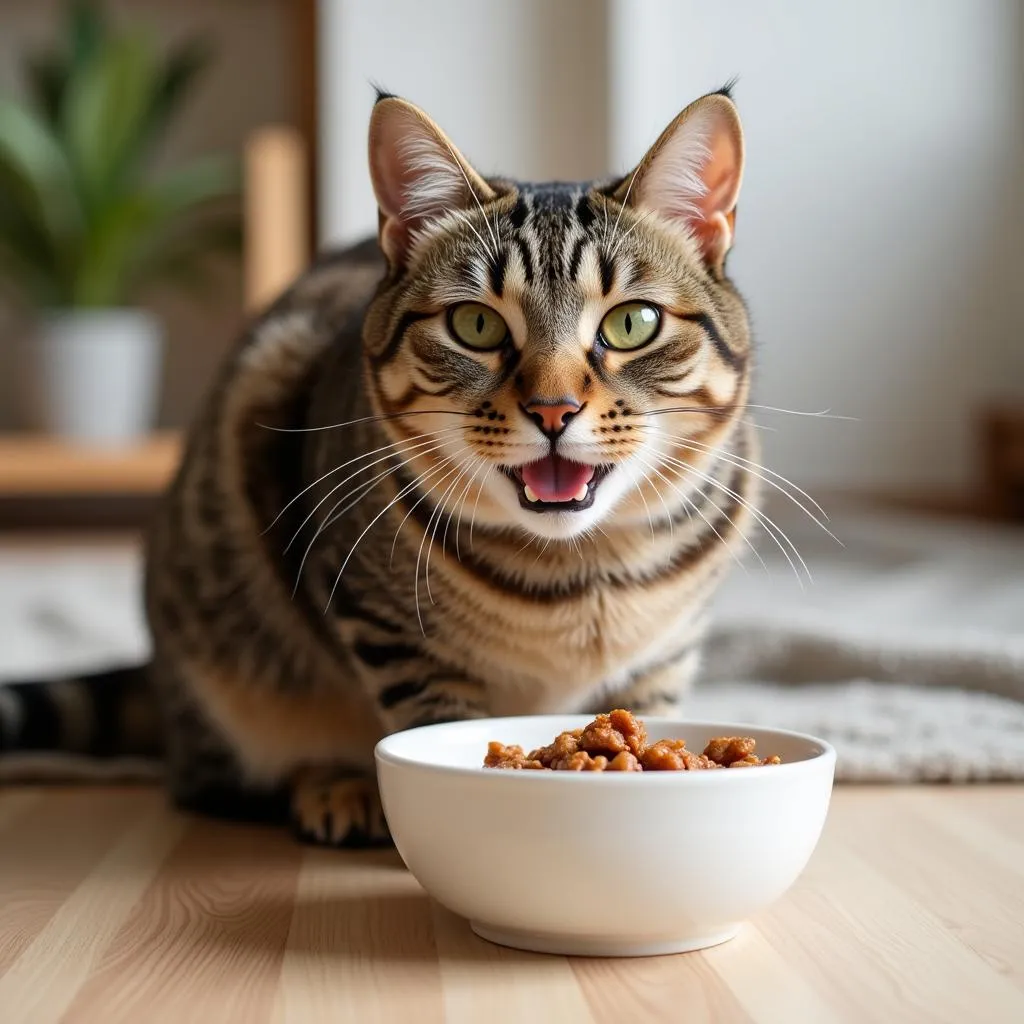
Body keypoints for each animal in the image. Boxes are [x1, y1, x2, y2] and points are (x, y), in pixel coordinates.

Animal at [0, 83, 761, 843]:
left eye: (632, 323)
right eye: (475, 325)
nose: (553, 409)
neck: (579, 575)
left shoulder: (665, 655)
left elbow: (649, 704)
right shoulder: (379, 619)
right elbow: (432, 718)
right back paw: (334, 787)